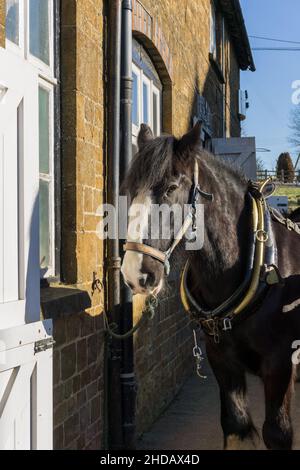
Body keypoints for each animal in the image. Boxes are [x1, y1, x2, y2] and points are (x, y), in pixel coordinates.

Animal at [120, 123, 300, 450]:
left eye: (171, 188)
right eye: (129, 190)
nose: (134, 272)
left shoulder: (280, 364)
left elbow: (277, 432)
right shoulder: (222, 361)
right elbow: (236, 425)